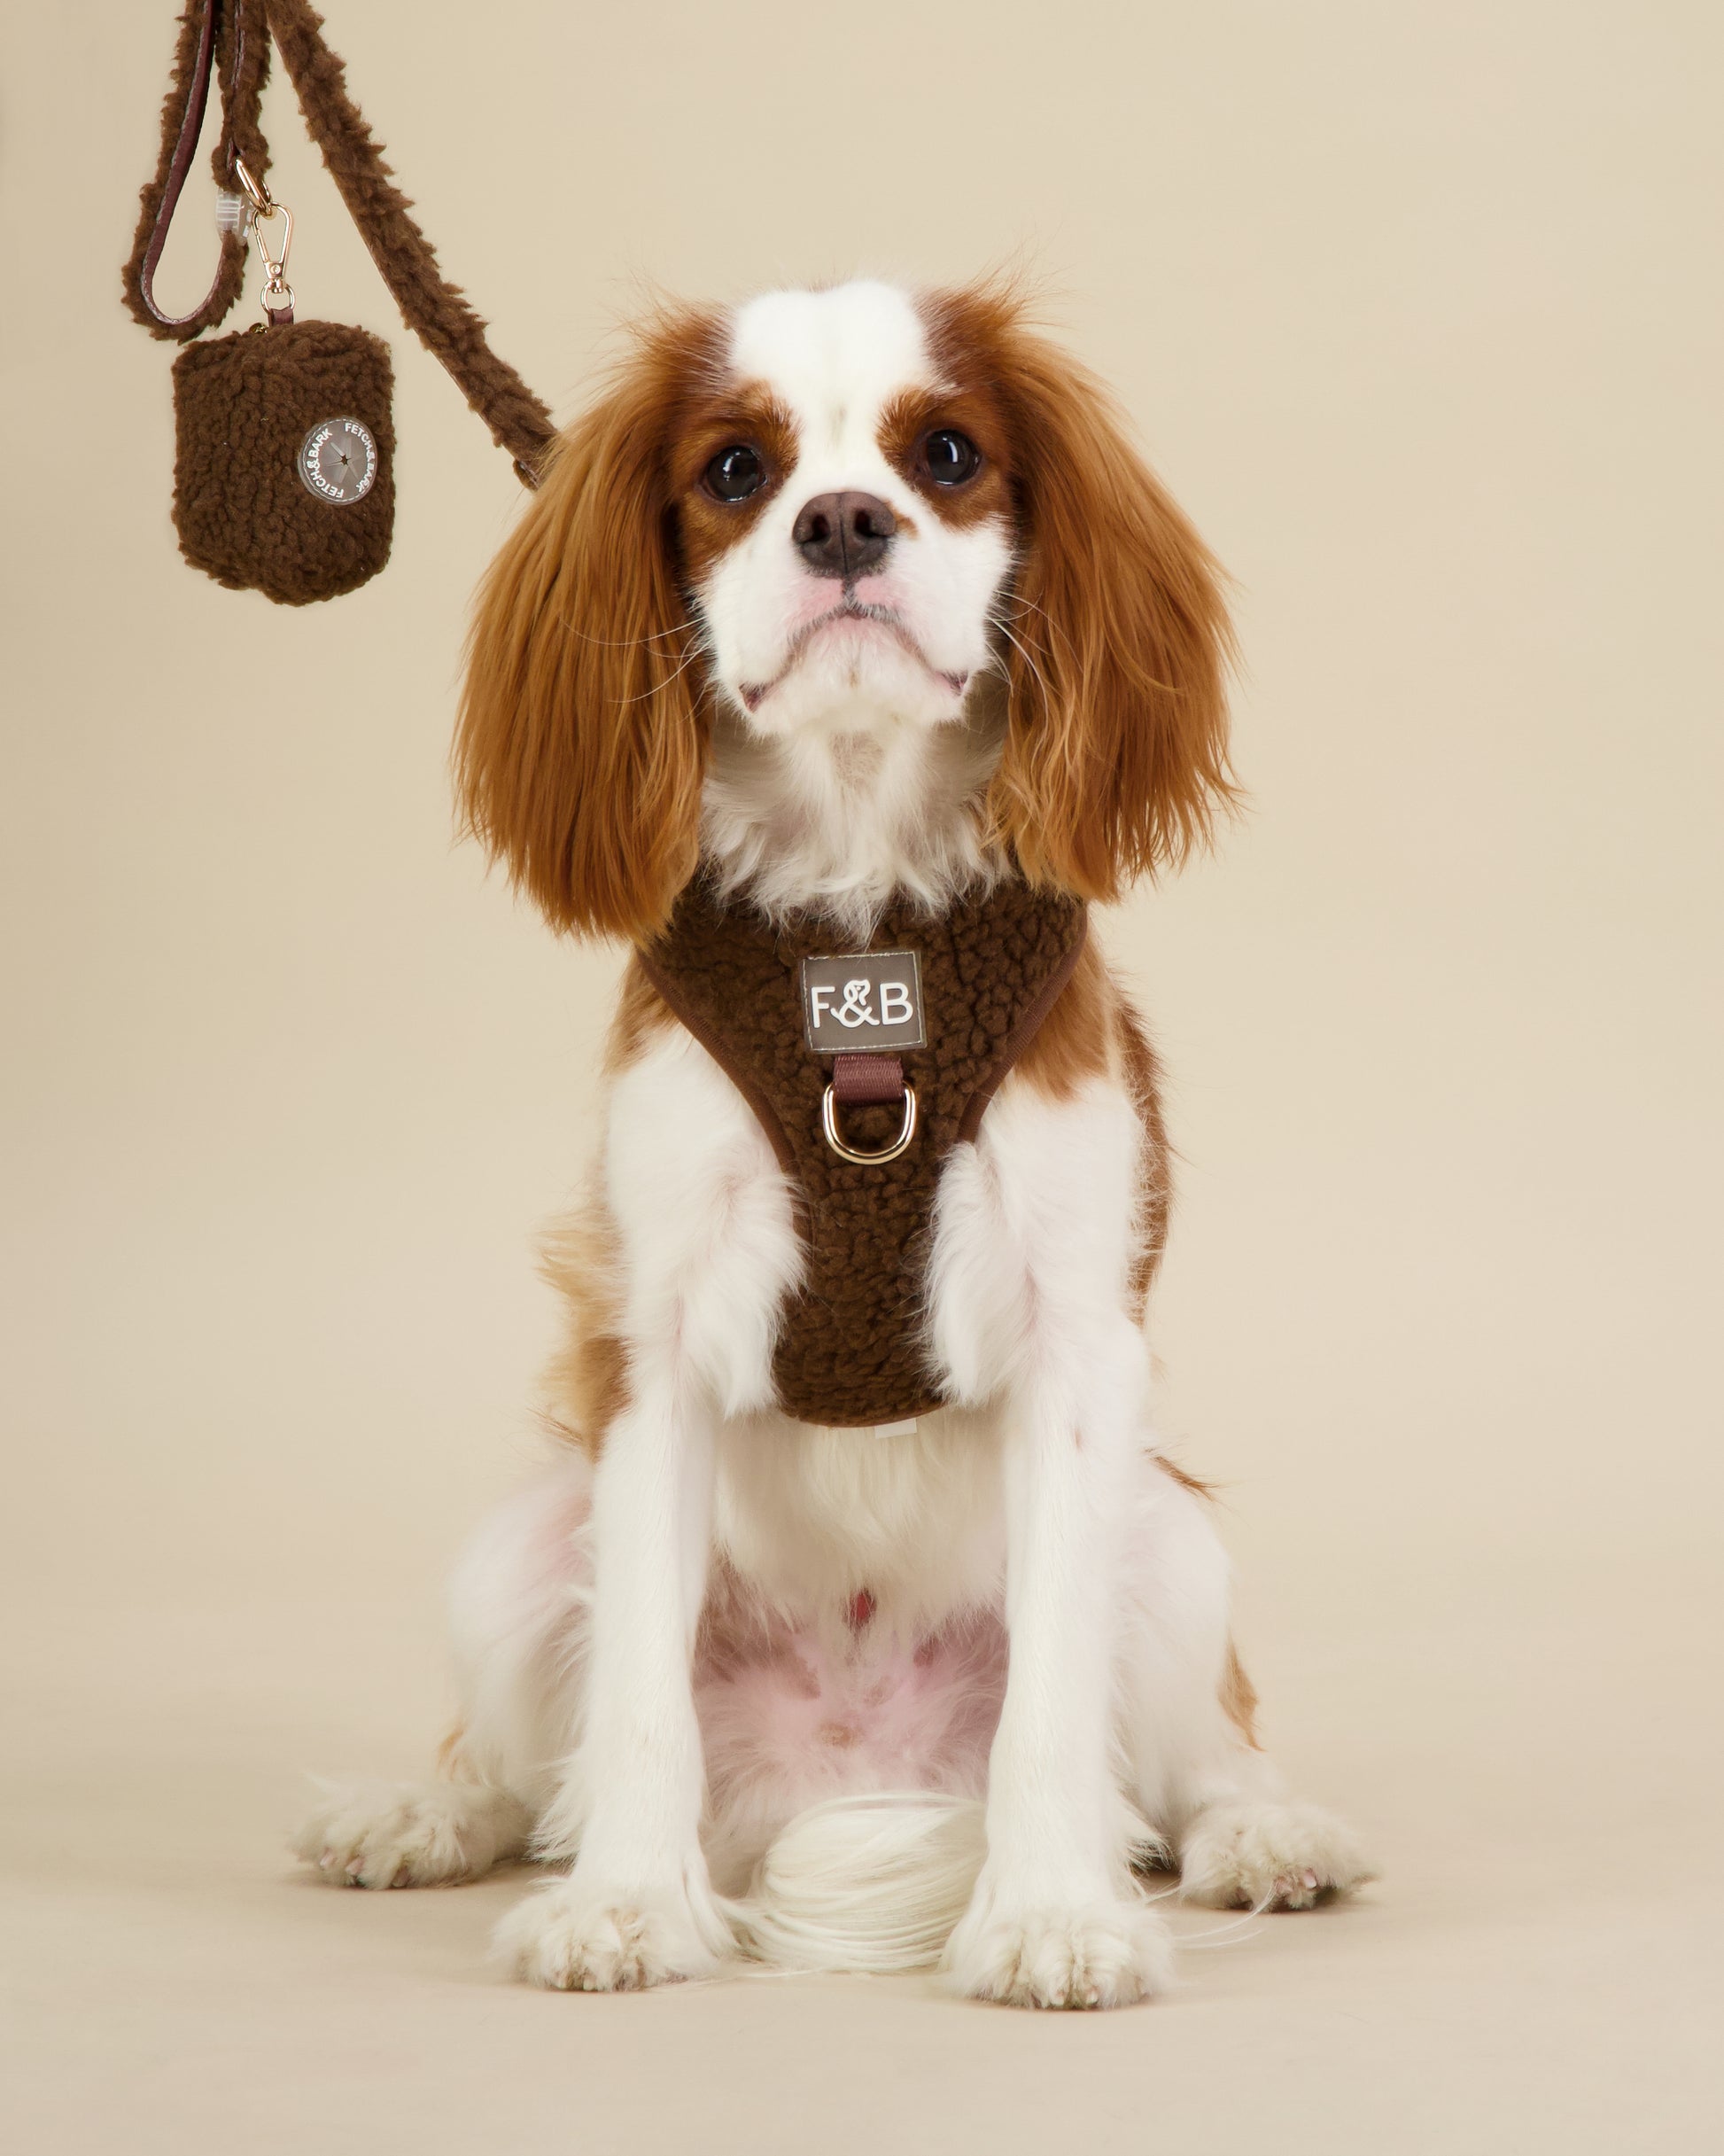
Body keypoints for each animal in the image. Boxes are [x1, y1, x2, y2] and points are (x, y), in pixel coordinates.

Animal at [297, 282, 1371, 2000]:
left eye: (947, 455)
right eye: (736, 469)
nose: (846, 520)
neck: (862, 930)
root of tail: (845, 1762)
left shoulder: (1078, 1348)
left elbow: (1053, 1705)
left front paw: (1052, 1910)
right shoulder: (652, 1345)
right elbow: (636, 1697)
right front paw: (624, 1901)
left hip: (1173, 1535)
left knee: (1201, 1751)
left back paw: (1264, 1833)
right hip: (521, 1545)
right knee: (519, 1767)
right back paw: (421, 1813)